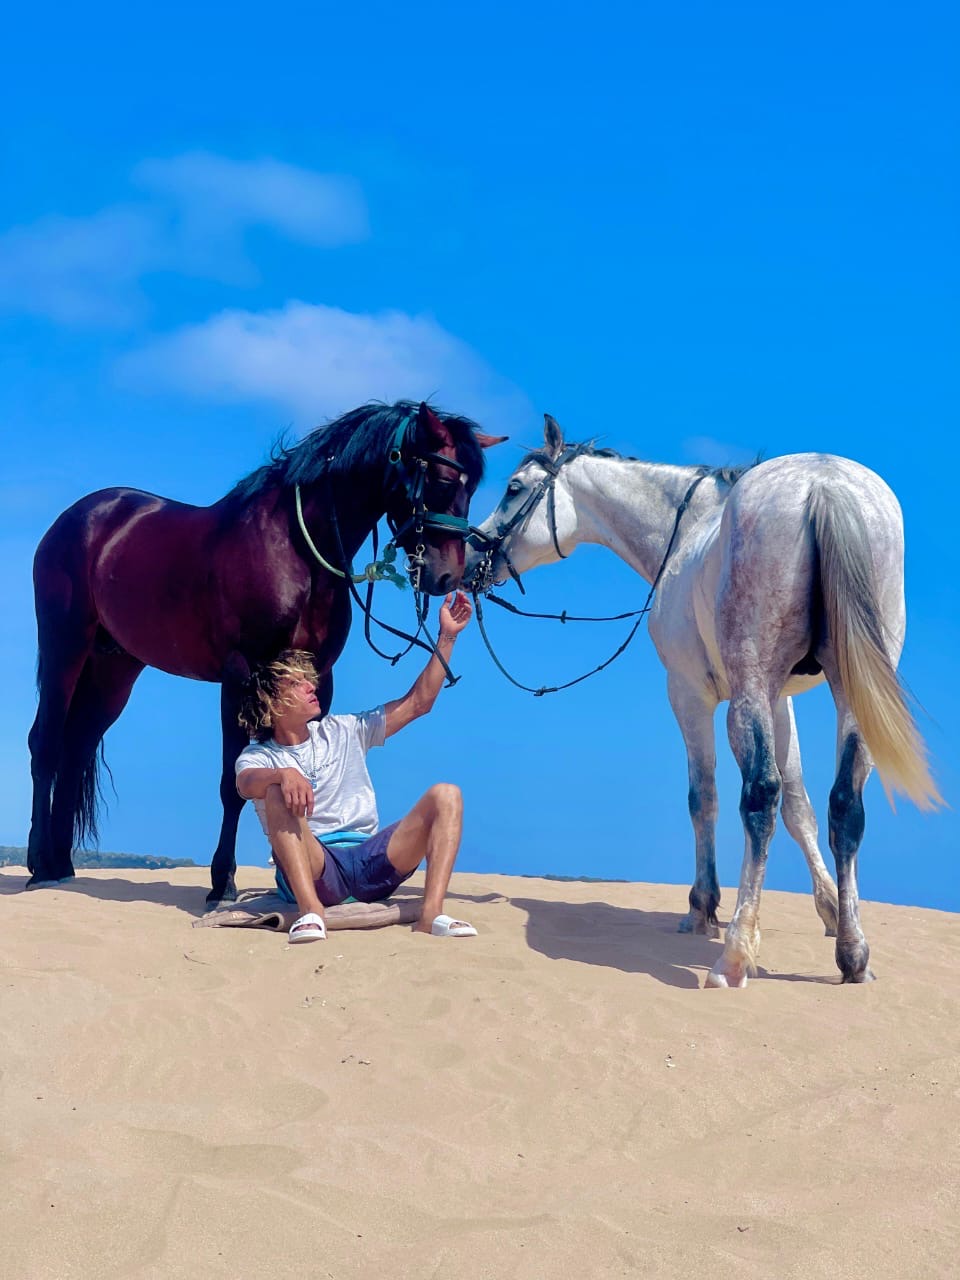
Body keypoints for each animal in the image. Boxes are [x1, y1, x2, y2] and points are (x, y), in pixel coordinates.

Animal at [28, 400, 505, 903]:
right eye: (443, 481)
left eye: (472, 488)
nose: (447, 576)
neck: (297, 549)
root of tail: (77, 518)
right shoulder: (241, 675)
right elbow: (233, 783)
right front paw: (222, 883)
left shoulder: (319, 677)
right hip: (65, 646)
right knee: (46, 743)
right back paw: (40, 866)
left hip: (115, 667)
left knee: (76, 749)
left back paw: (61, 864)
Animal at [466, 413, 941, 987]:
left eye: (513, 489)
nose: (471, 556)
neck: (687, 531)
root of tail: (823, 485)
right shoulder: (779, 701)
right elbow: (800, 807)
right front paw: (830, 908)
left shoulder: (690, 692)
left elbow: (705, 798)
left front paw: (703, 907)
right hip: (851, 694)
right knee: (844, 805)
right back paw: (853, 956)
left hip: (752, 693)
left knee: (759, 796)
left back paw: (734, 954)